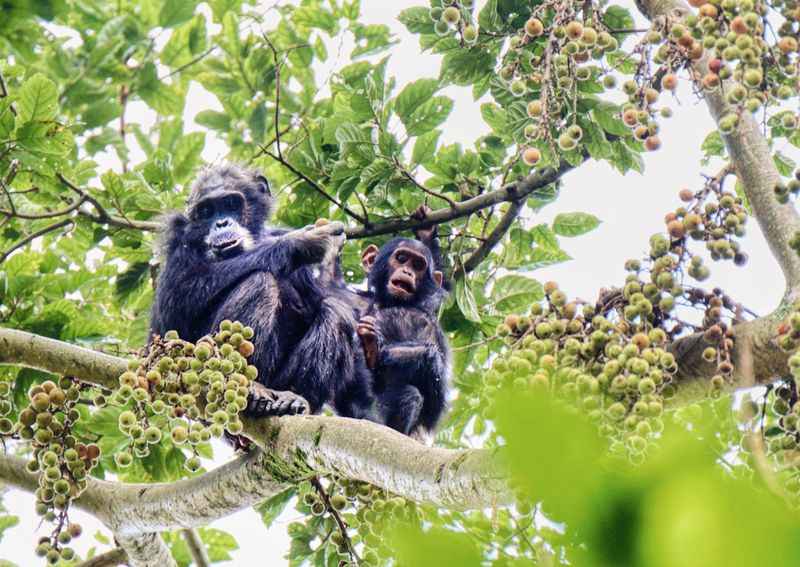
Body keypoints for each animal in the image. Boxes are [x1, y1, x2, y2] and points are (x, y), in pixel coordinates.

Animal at [152, 164, 348, 418]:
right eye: (206, 211)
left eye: (231, 203)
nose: (221, 223)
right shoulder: (178, 242)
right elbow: (175, 306)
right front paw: (300, 242)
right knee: (259, 282)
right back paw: (253, 389)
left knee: (336, 312)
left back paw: (295, 397)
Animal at [356, 237, 450, 438]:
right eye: (401, 258)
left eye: (418, 265)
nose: (408, 272)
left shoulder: (424, 321)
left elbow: (435, 401)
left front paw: (374, 350)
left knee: (410, 393)